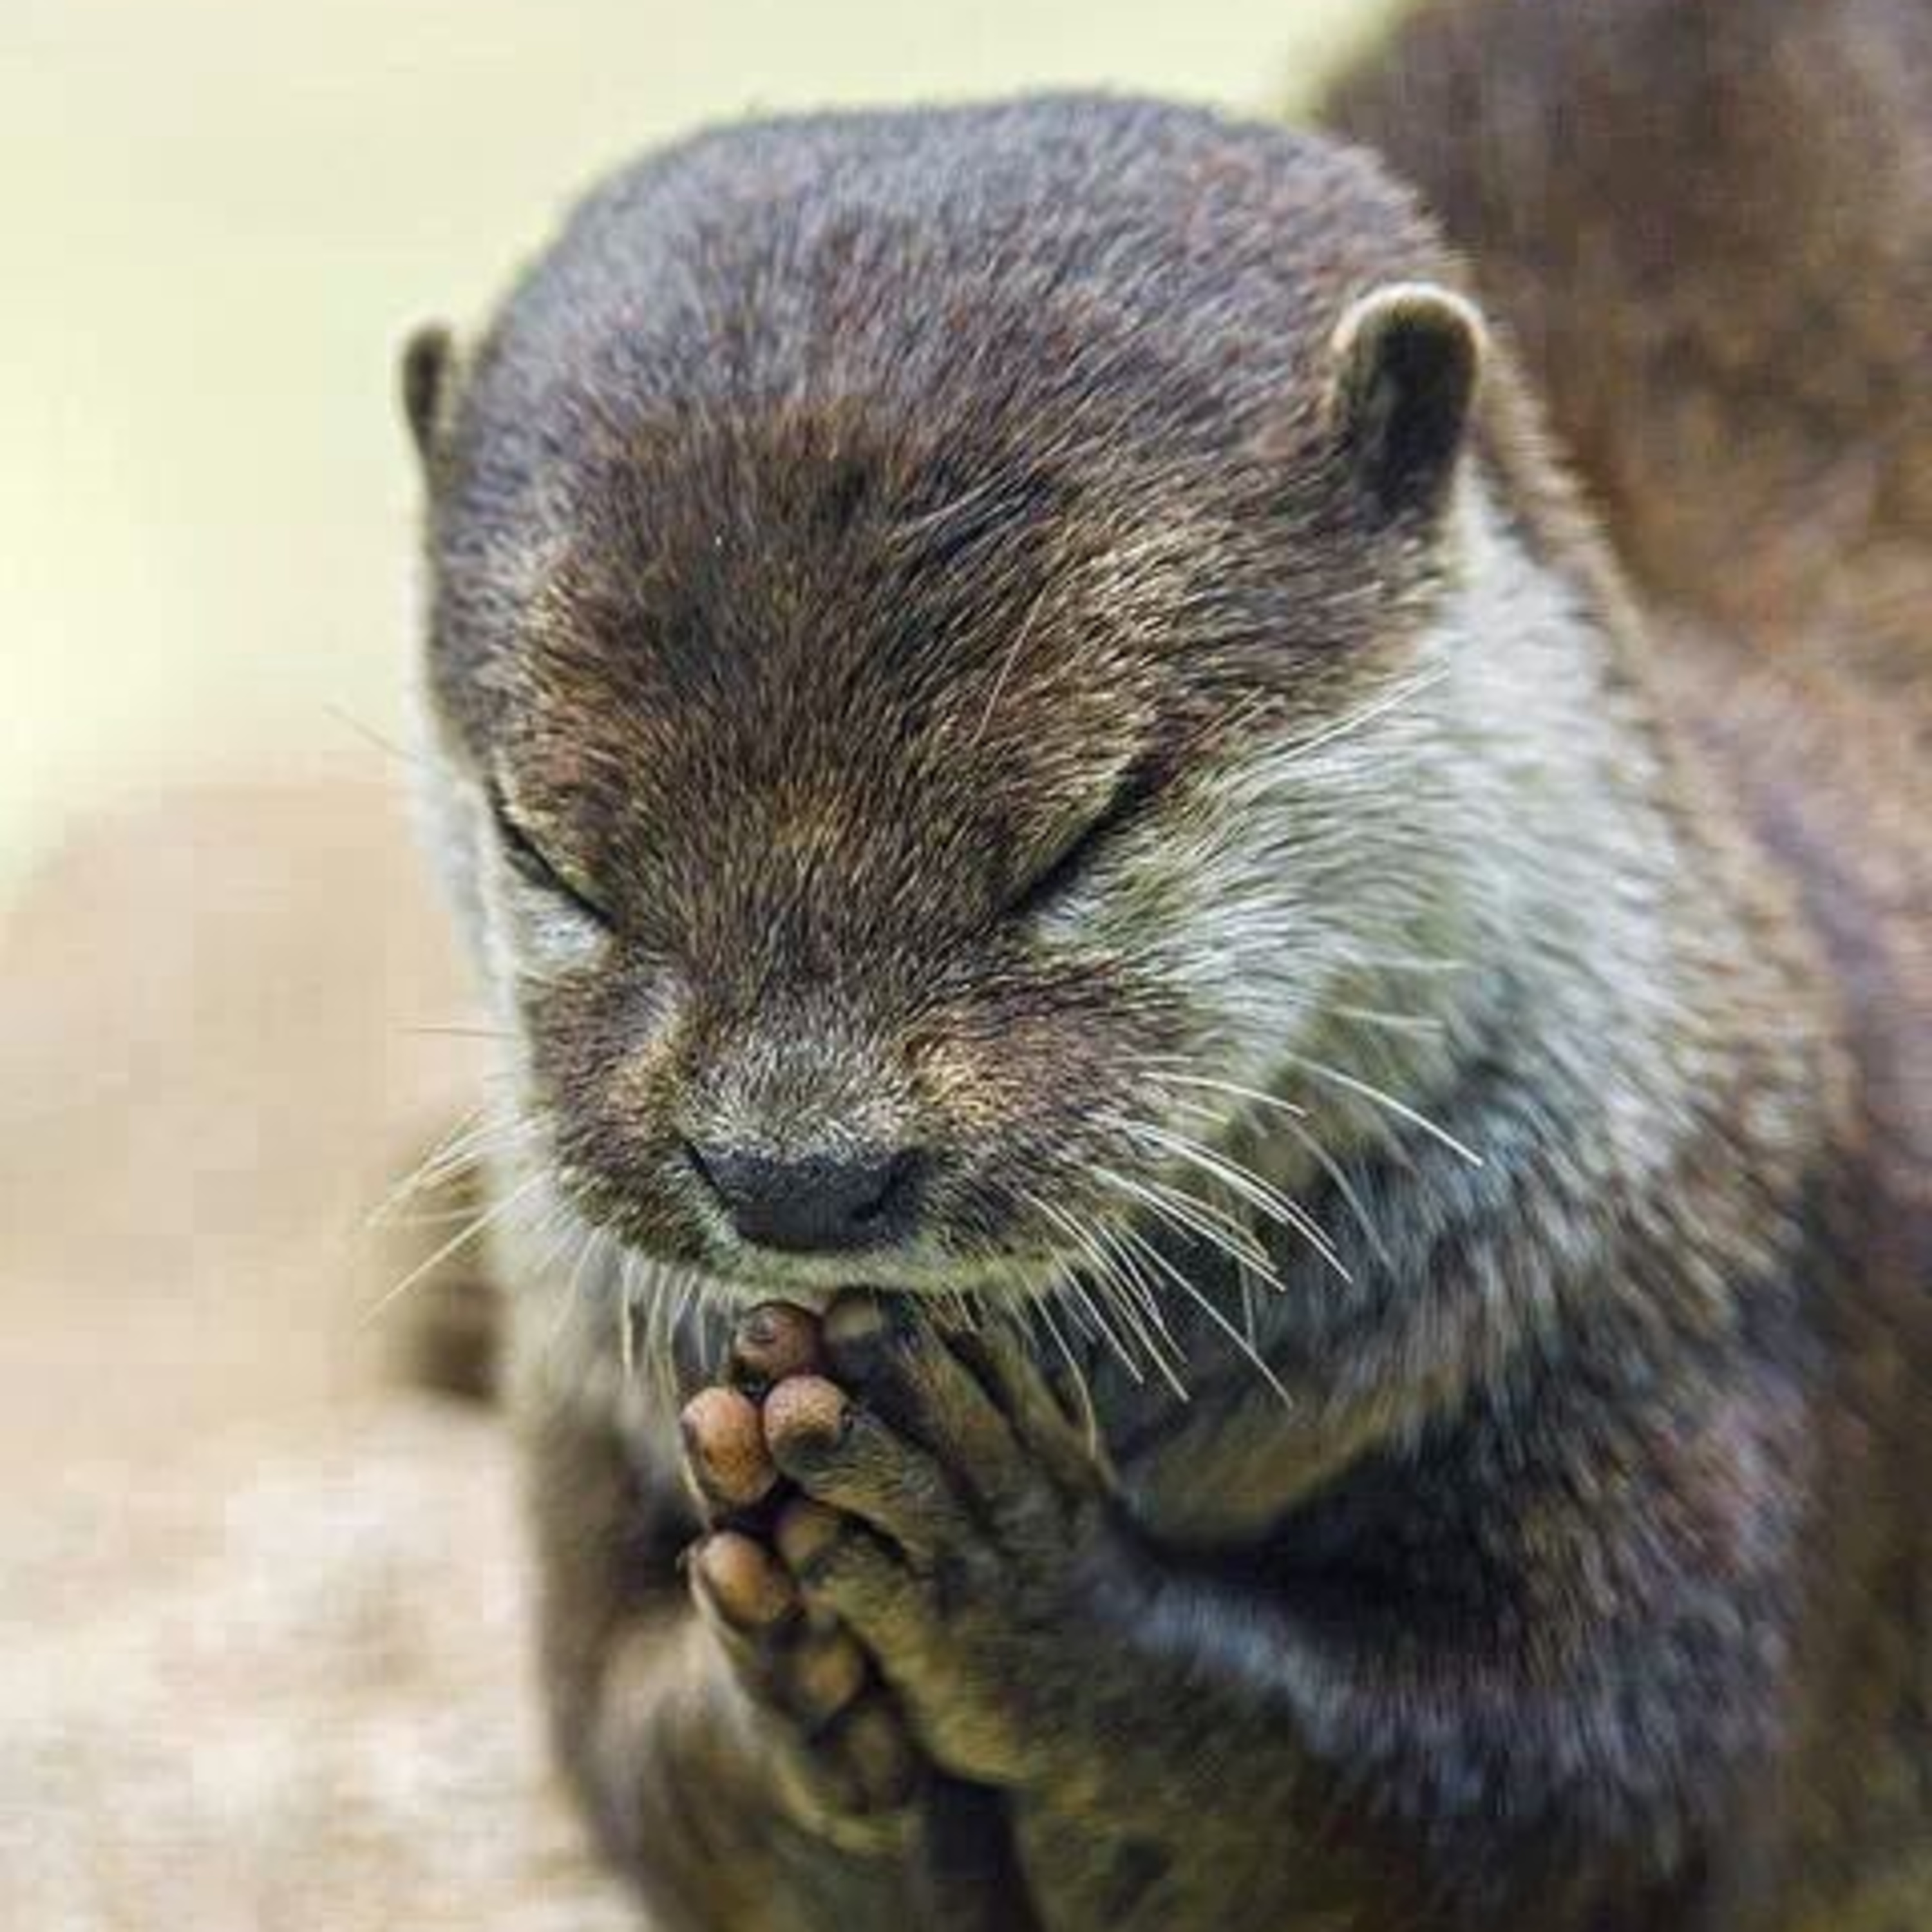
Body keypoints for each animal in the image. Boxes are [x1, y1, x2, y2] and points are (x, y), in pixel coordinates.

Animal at [400, 88, 1931, 1932]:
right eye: (545, 852)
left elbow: (1573, 1790)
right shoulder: (580, 1410)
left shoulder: (1711, 1309)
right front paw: (788, 1682)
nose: (795, 1172)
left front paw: (1009, 1581)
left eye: (1081, 833)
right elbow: (629, 1744)